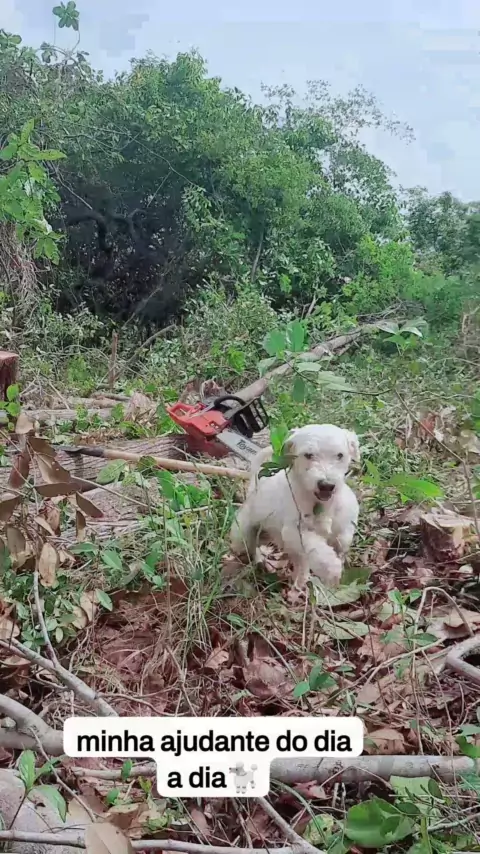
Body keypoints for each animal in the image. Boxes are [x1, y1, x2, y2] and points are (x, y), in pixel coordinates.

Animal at [230, 424, 360, 592]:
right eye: (308, 455)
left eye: (340, 455)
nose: (327, 485)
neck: (320, 504)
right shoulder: (292, 531)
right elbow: (314, 545)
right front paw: (330, 568)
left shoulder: (347, 518)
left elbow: (344, 537)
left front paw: (339, 552)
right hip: (244, 531)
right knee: (249, 547)